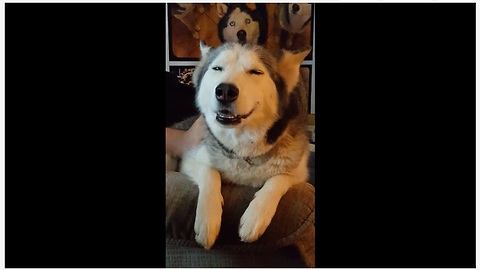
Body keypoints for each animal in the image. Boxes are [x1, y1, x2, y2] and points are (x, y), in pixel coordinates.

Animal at [168, 40, 312, 249]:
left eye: (255, 72)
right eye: (217, 68)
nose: (225, 92)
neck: (243, 144)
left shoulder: (299, 172)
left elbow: (278, 179)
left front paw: (255, 217)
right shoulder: (189, 159)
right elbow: (210, 173)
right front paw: (208, 222)